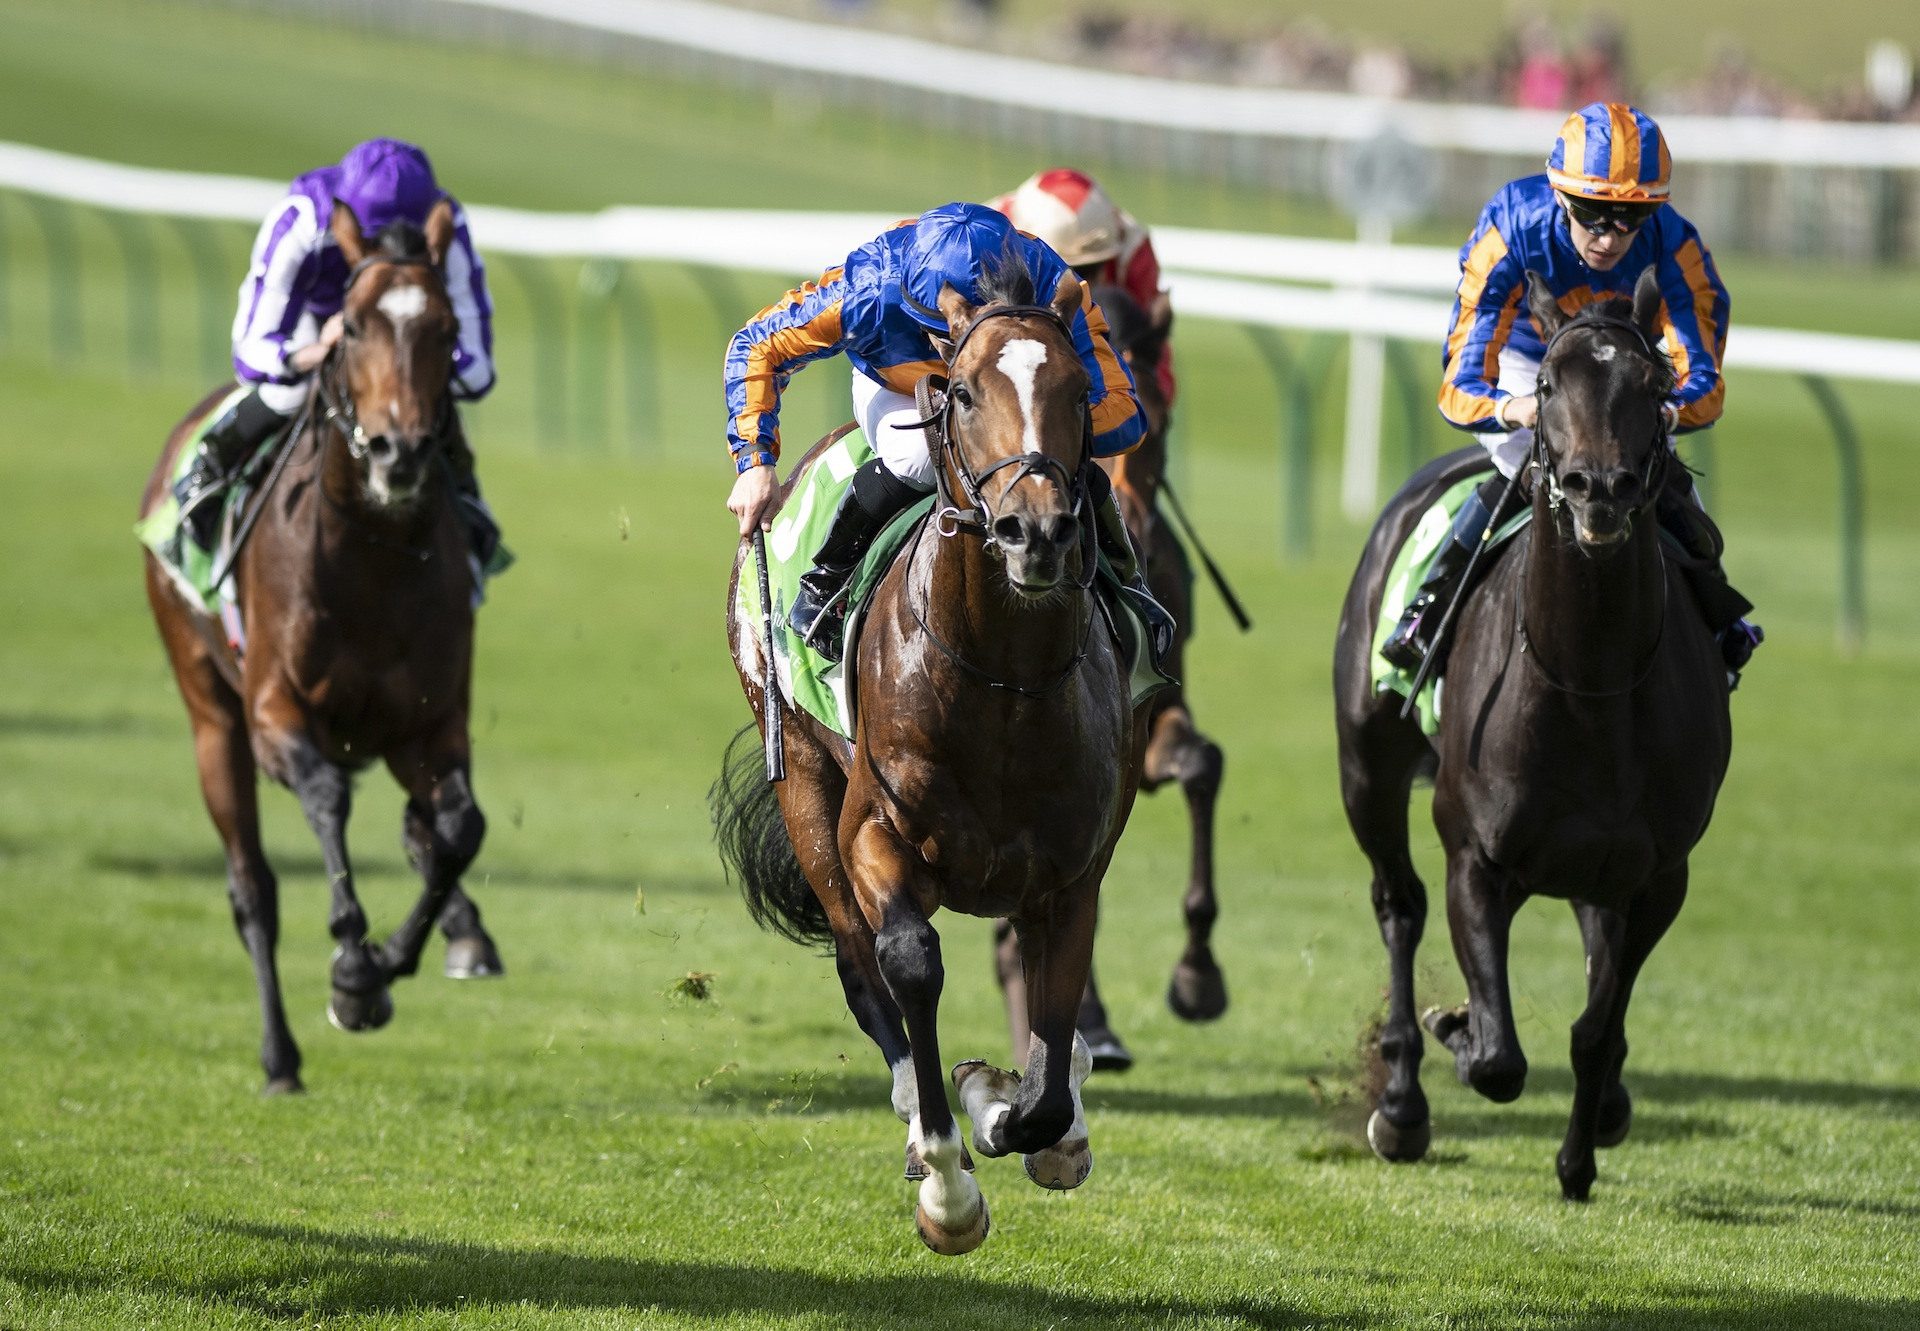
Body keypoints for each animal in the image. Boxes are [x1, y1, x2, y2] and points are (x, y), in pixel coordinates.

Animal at [141, 196, 503, 1090]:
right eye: (353, 325)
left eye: (447, 327)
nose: (399, 451)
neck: (371, 563)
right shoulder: (276, 712)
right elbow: (328, 798)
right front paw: (351, 966)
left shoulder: (429, 725)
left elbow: (460, 830)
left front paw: (392, 958)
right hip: (209, 712)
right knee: (252, 888)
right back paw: (280, 1056)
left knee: (425, 833)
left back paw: (465, 931)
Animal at [714, 263, 1144, 1259]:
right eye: (965, 392)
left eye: (1079, 388)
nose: (1035, 530)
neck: (1003, 686)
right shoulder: (873, 830)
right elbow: (907, 961)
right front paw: (951, 1182)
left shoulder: (1073, 871)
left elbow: (1051, 1060)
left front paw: (1015, 1108)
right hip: (804, 785)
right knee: (858, 963)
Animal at [1344, 266, 1735, 1190]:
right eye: (1552, 383)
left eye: (1656, 385)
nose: (1601, 490)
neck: (1590, 683)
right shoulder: (1475, 857)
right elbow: (1498, 1059)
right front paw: (1457, 1031)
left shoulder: (1658, 877)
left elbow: (1595, 1027)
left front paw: (1578, 1157)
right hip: (1368, 767)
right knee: (1398, 905)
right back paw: (1403, 1101)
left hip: (1597, 871)